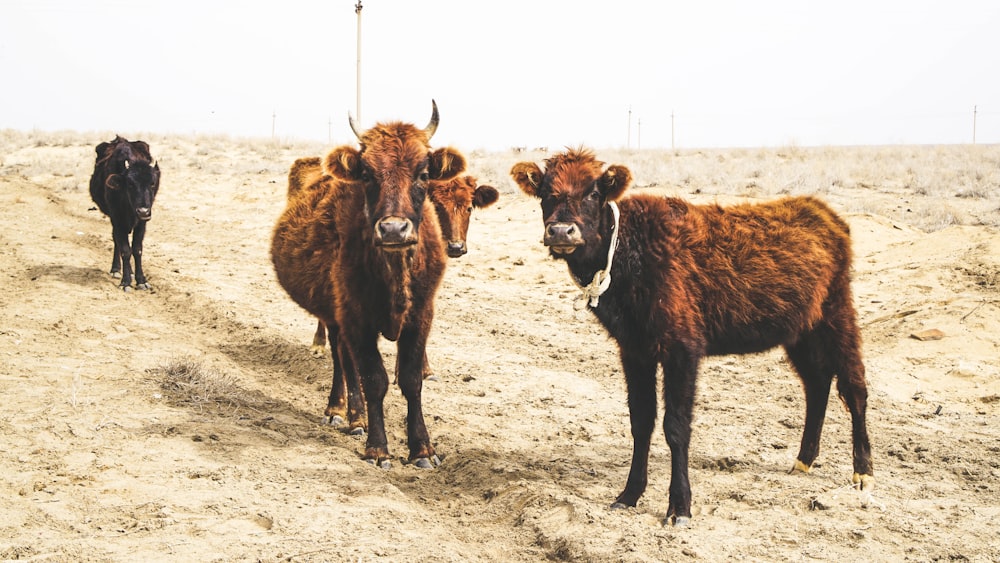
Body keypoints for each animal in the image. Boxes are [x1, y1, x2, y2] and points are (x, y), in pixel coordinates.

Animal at [270, 103, 464, 470]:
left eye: (423, 173)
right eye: (367, 174)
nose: (393, 229)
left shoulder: (421, 317)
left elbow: (411, 380)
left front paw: (422, 449)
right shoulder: (356, 319)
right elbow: (374, 379)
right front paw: (378, 448)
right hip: (334, 317)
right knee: (342, 360)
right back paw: (345, 413)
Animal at [512, 148, 872, 528]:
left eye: (594, 193)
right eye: (545, 193)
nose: (561, 231)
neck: (632, 250)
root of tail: (825, 213)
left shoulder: (681, 349)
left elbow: (676, 426)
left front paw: (679, 507)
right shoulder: (634, 350)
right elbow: (641, 421)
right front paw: (629, 495)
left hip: (838, 314)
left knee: (853, 386)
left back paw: (863, 470)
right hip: (800, 331)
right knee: (817, 383)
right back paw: (804, 459)